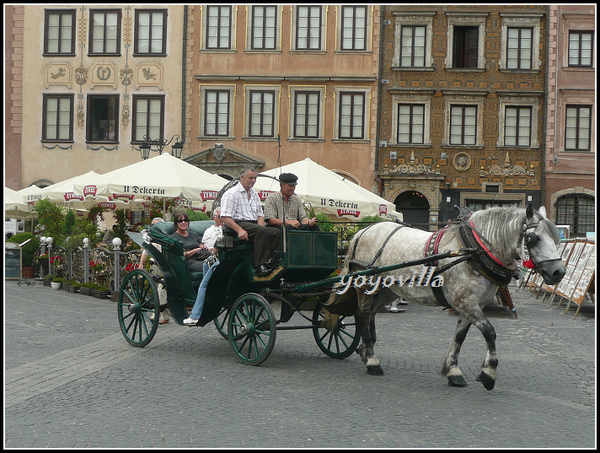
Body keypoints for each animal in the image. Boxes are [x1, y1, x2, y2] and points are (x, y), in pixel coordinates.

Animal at [328, 207, 568, 390]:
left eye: (556, 237)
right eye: (534, 238)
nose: (559, 272)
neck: (473, 251)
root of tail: (364, 230)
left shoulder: (473, 304)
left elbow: (459, 337)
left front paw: (453, 371)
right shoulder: (465, 302)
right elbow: (489, 332)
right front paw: (489, 372)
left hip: (388, 290)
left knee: (370, 315)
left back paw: (365, 350)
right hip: (367, 285)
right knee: (362, 314)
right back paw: (371, 360)